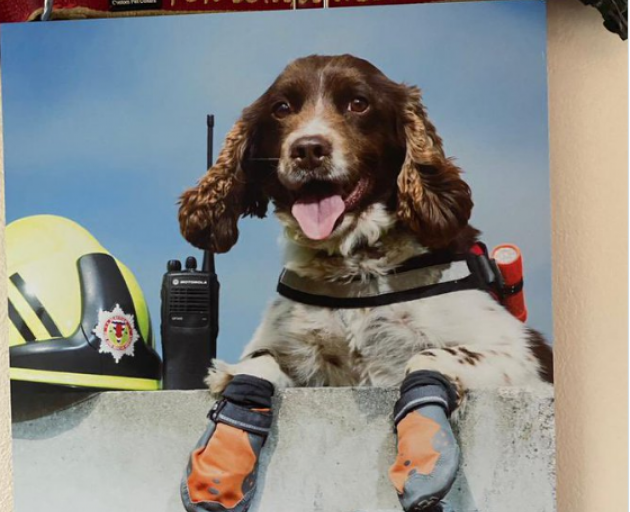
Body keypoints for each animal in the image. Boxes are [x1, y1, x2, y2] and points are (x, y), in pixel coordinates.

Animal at [178, 54, 552, 402]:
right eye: (281, 108)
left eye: (358, 103)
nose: (308, 149)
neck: (354, 264)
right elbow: (258, 361)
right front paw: (230, 376)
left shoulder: (523, 352)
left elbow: (427, 358)